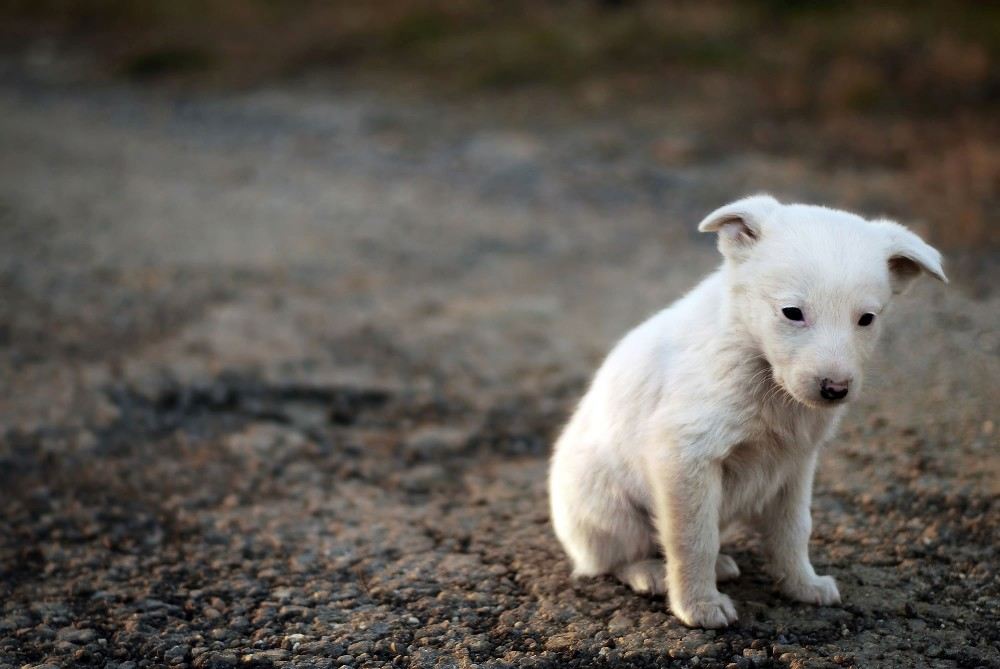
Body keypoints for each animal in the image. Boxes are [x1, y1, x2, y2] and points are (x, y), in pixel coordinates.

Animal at [548, 193, 944, 628]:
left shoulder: (796, 465)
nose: (835, 390)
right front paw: (699, 606)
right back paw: (650, 572)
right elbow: (693, 539)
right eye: (792, 312)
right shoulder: (685, 456)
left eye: (867, 319)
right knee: (613, 558)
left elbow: (793, 530)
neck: (760, 366)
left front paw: (802, 585)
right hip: (607, 506)